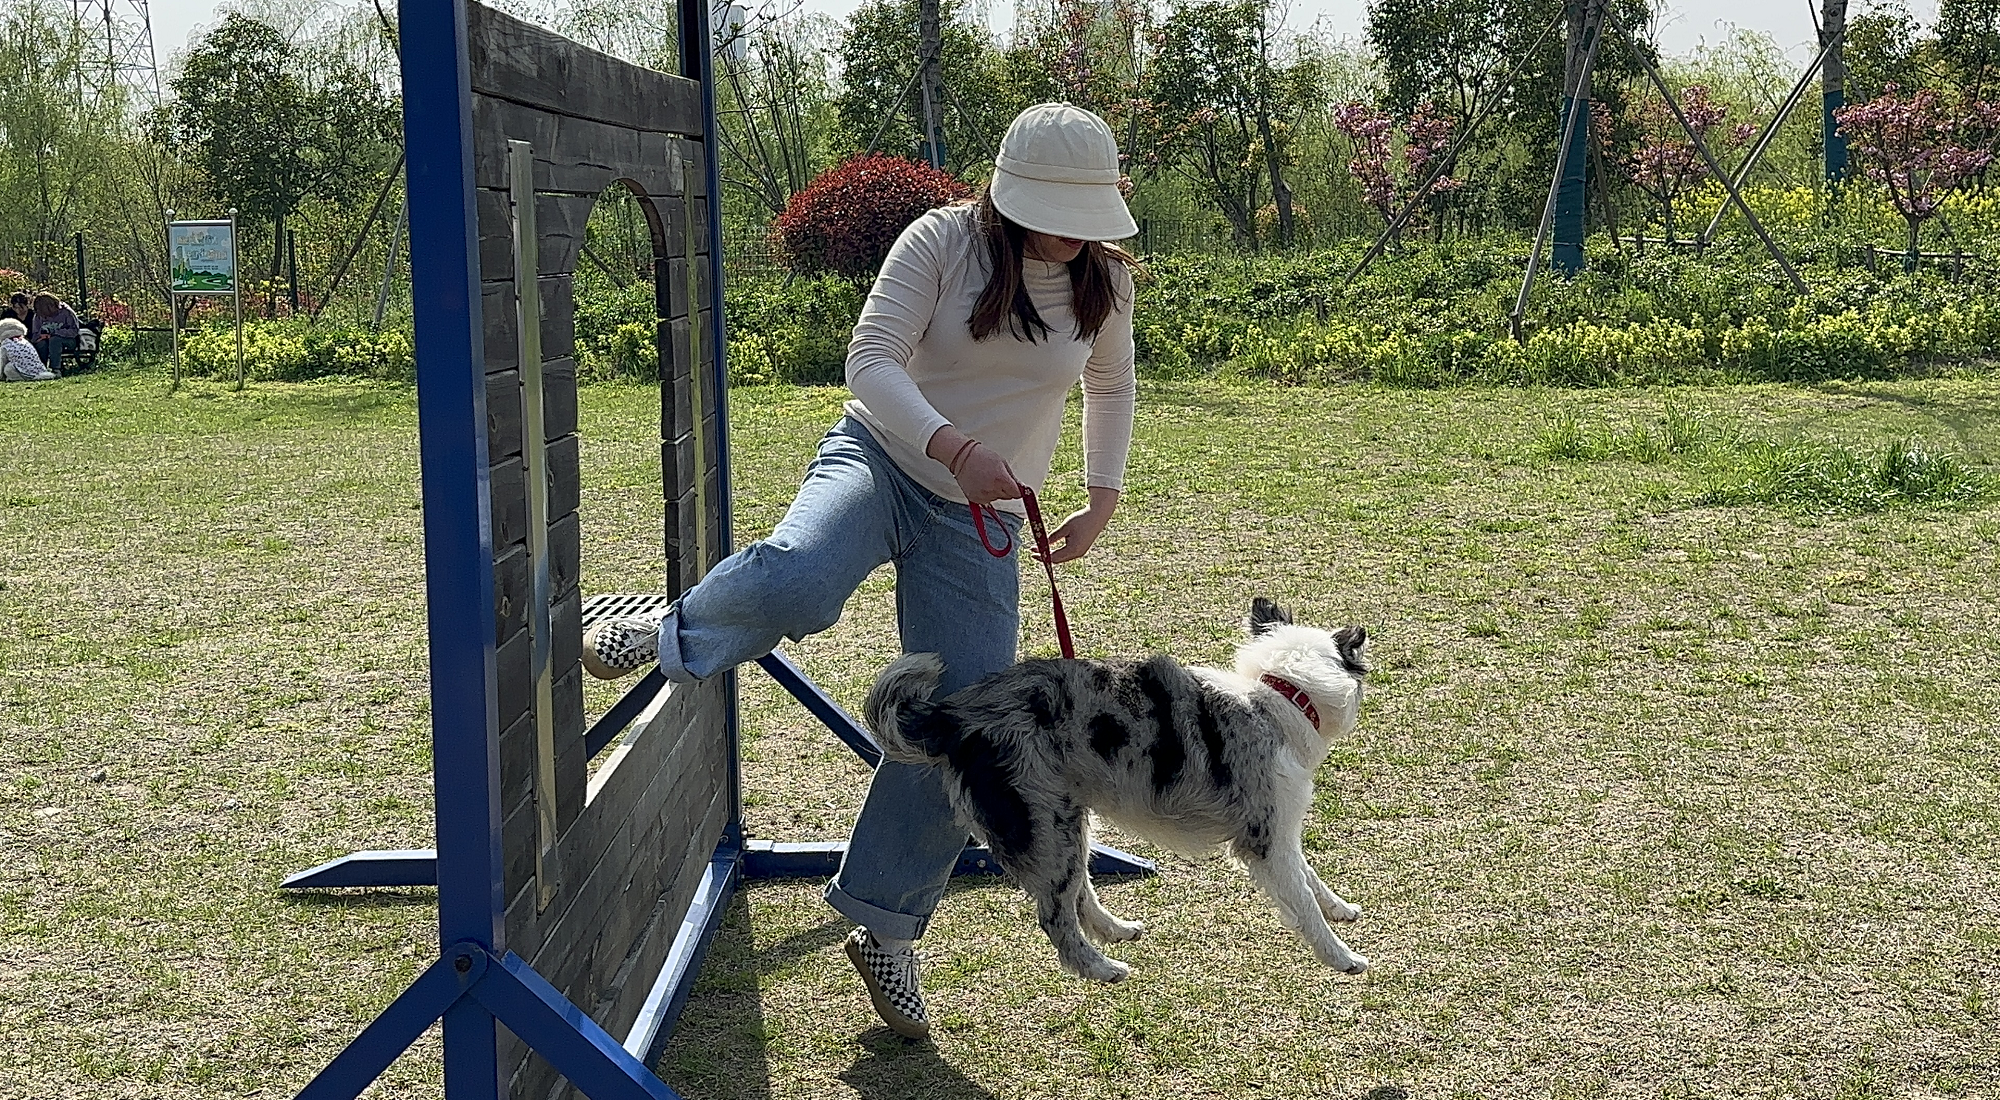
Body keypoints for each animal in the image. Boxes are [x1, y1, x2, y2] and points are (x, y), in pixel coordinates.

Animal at [864, 597, 1372, 982]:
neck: (1275, 698)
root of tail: (954, 715)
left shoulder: (1282, 833)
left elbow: (1311, 877)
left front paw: (1341, 907)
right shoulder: (1265, 841)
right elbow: (1303, 903)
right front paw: (1343, 956)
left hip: (1068, 822)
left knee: (1079, 894)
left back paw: (1116, 930)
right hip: (1046, 827)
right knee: (1056, 916)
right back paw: (1102, 968)